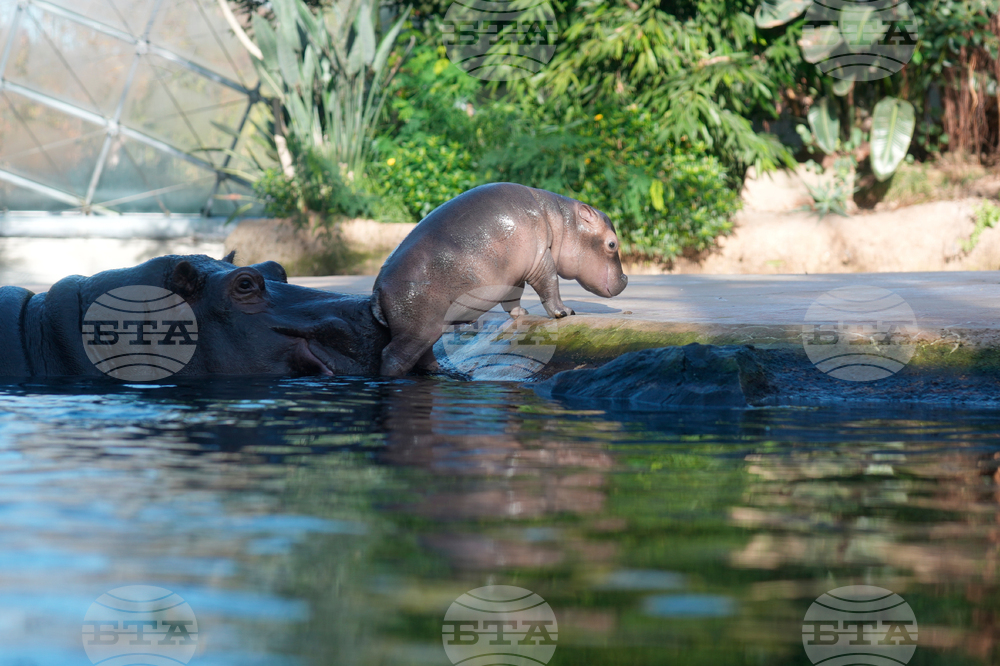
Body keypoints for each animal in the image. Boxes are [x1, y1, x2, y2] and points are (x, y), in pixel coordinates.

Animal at [371, 182, 628, 376]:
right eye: (612, 244)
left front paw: (520, 314)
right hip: (417, 330)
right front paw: (564, 312)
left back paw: (439, 372)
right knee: (394, 356)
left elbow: (513, 295)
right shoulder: (541, 257)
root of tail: (377, 288)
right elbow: (549, 284)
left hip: (425, 330)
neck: (564, 223)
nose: (625, 278)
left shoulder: (518, 271)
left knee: (424, 355)